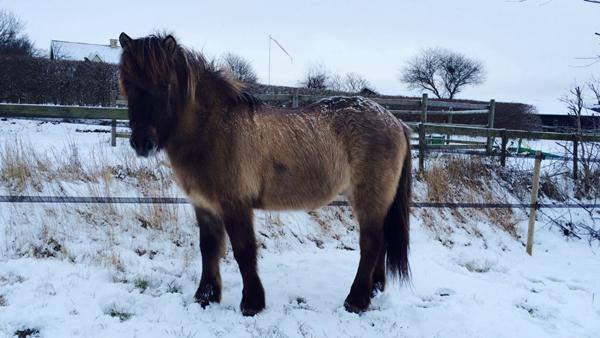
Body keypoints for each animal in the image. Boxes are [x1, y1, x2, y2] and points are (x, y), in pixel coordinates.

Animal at [119, 33, 414, 316]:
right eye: (128, 84)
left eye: (164, 84)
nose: (142, 143)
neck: (213, 129)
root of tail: (396, 121)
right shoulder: (204, 206)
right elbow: (209, 249)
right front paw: (205, 297)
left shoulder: (235, 204)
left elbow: (244, 251)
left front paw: (251, 303)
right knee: (381, 241)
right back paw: (375, 287)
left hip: (369, 198)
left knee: (372, 243)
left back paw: (356, 300)